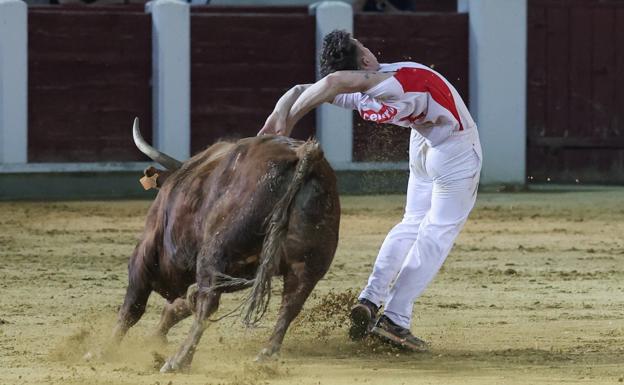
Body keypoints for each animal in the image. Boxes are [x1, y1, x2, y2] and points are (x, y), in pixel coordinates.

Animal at [106, 118, 342, 372]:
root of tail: (303, 153)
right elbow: (178, 306)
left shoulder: (145, 254)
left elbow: (132, 307)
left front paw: (104, 350)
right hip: (307, 262)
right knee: (292, 301)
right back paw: (267, 353)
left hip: (214, 252)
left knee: (207, 304)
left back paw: (178, 360)